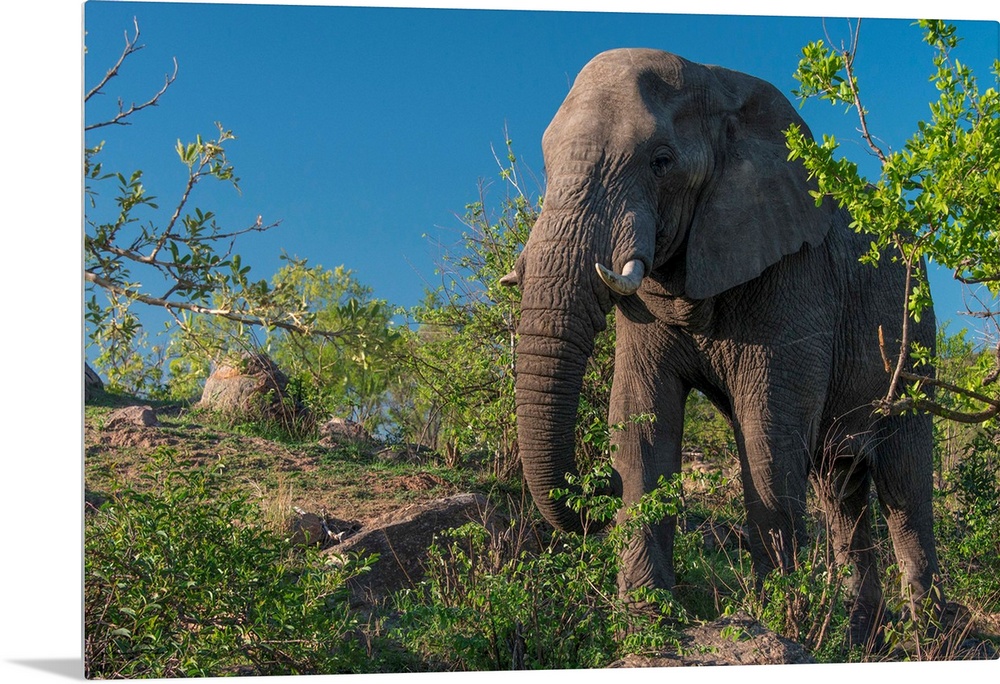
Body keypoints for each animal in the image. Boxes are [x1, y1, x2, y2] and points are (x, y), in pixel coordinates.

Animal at [502, 48, 942, 646]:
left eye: (661, 161)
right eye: (546, 165)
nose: (601, 487)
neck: (716, 86)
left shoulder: (795, 272)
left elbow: (769, 430)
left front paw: (773, 622)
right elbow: (640, 420)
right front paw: (648, 619)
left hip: (916, 338)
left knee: (905, 487)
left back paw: (931, 640)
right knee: (841, 488)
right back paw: (860, 640)